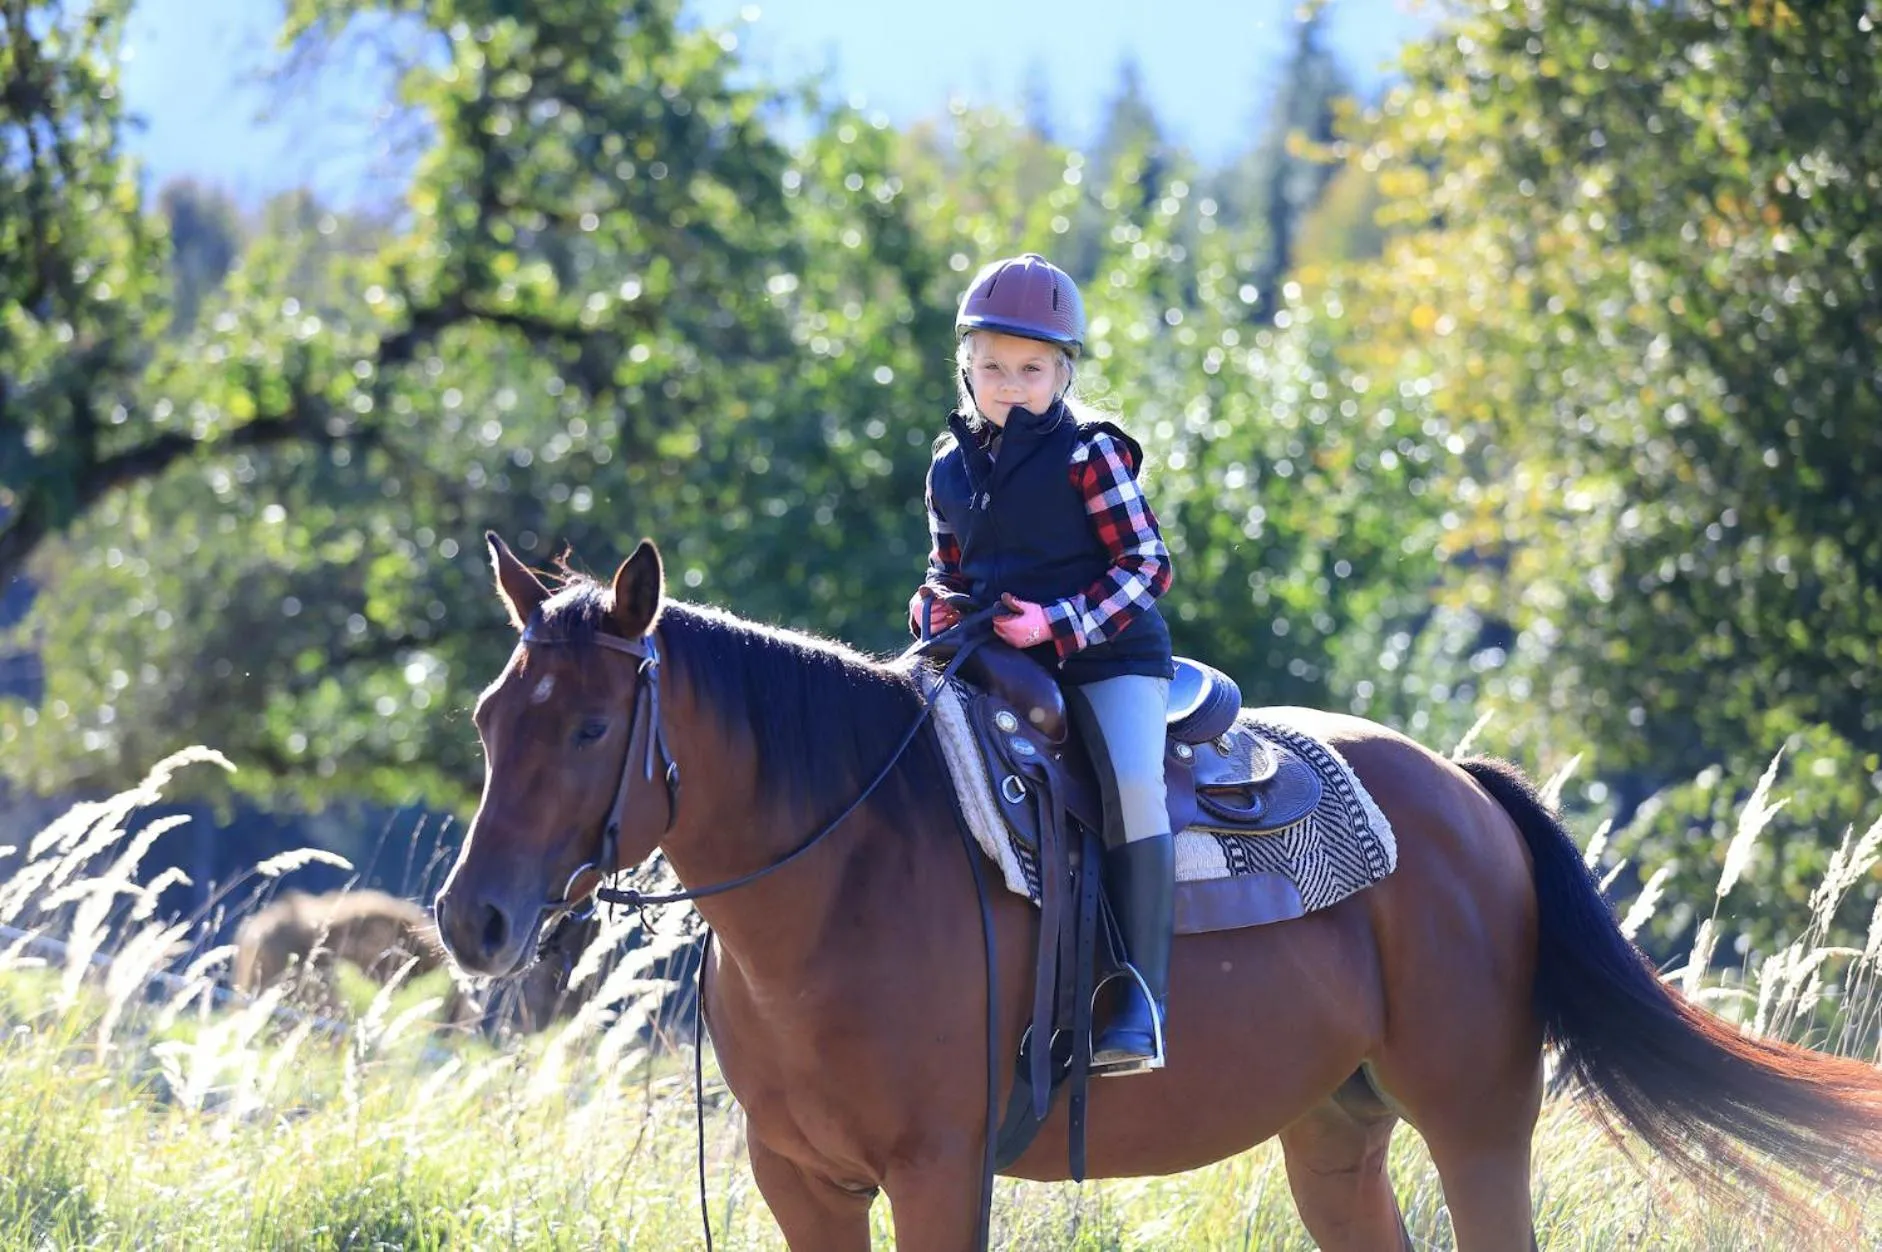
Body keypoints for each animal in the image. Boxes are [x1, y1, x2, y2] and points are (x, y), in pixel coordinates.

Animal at [434, 532, 1882, 1251]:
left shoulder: (938, 1174)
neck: (833, 890)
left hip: (1476, 1126)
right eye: (491, 715)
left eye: (587, 728)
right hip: (1335, 1137)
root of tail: (1469, 800)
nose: (471, 920)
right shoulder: (801, 1182)